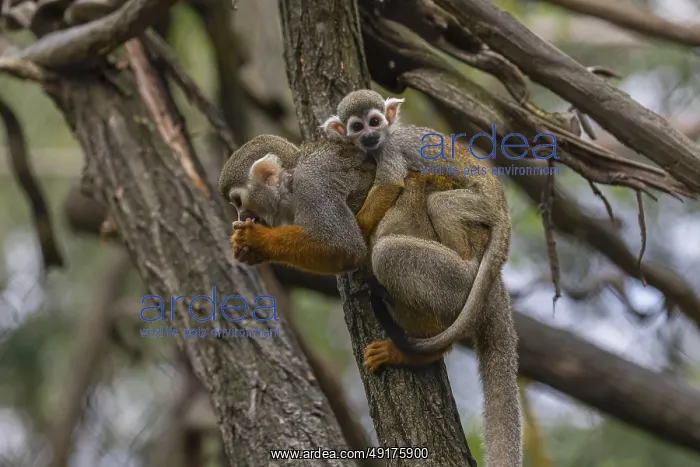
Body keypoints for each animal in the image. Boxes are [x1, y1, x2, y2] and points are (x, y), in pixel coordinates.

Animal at [220, 133, 522, 467]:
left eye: (238, 202)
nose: (240, 216)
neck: (293, 176)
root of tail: (493, 282)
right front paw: (248, 251)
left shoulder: (313, 187)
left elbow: (345, 247)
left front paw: (258, 241)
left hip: (459, 281)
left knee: (388, 253)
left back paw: (419, 348)